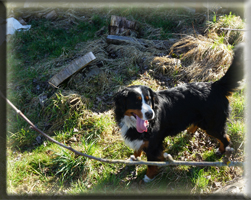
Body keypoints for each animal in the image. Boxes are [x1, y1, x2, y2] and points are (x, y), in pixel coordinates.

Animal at [113, 43, 243, 183]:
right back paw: (189, 132)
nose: (150, 114)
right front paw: (135, 157)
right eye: (136, 102)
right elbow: (138, 149)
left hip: (212, 125)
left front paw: (149, 176)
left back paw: (221, 152)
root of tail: (215, 85)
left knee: (225, 138)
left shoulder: (154, 144)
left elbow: (152, 163)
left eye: (148, 100)